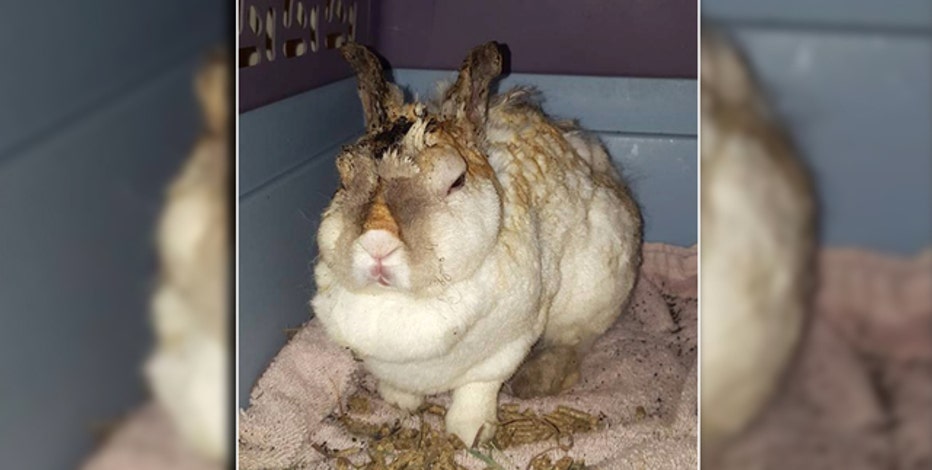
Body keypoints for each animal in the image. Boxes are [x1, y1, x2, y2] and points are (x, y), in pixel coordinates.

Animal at [311, 41, 642, 446]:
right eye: (343, 180)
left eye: (456, 181)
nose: (377, 242)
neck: (406, 301)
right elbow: (399, 386)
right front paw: (400, 402)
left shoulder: (505, 349)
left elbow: (477, 389)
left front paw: (471, 434)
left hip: (591, 296)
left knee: (574, 342)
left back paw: (536, 380)